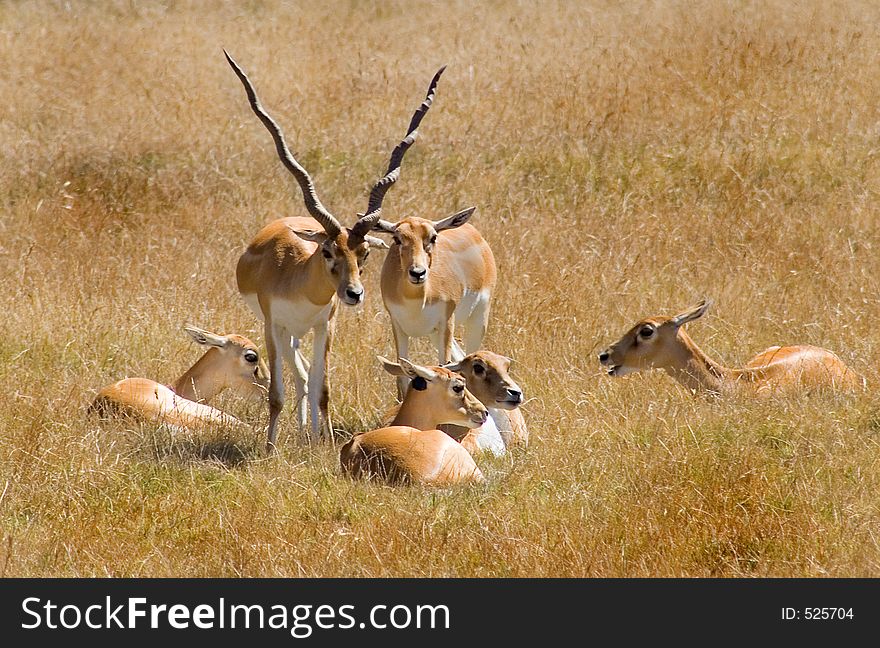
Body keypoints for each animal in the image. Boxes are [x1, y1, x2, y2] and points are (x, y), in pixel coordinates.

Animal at [225, 50, 446, 448]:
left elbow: (322, 387)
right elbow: (276, 392)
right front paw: (269, 447)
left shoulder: (325, 325)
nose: (354, 293)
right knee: (297, 376)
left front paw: (324, 440)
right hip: (285, 332)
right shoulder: (272, 325)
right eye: (328, 251)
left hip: (304, 333)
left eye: (365, 255)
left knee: (307, 376)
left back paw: (308, 431)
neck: (297, 278)